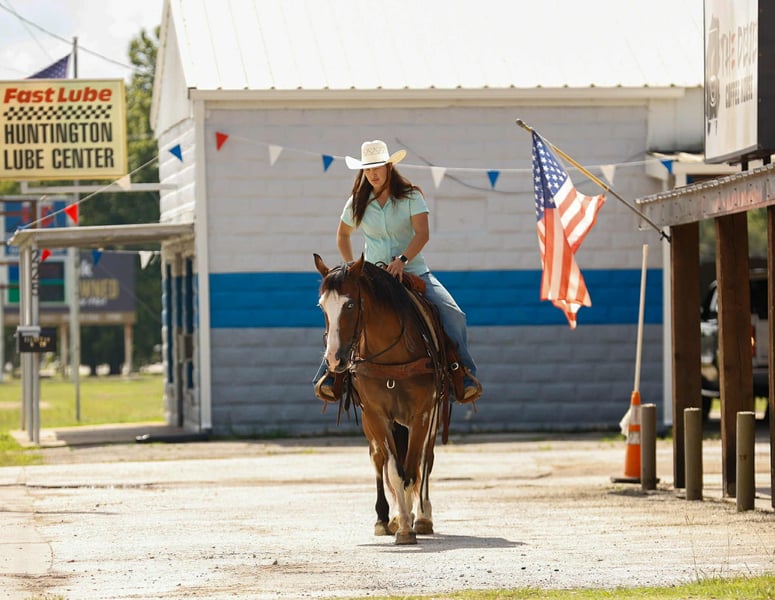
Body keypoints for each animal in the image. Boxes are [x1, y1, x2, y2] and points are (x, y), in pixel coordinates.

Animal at [314, 253, 457, 545]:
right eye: (322, 306)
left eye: (349, 304)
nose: (334, 359)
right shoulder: (375, 414)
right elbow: (393, 468)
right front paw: (401, 524)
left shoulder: (422, 414)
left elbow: (413, 468)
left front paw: (411, 523)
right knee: (379, 458)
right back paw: (385, 518)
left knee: (426, 459)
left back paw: (422, 516)